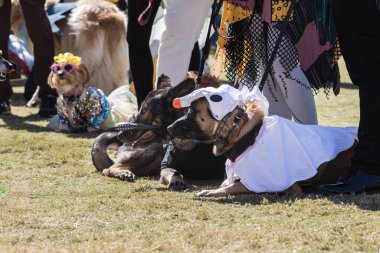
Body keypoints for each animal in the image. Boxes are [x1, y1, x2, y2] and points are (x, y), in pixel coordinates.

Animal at [168, 84, 358, 197]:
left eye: (191, 112)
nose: (168, 128)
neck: (246, 134)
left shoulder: (279, 184)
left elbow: (232, 187)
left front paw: (209, 191)